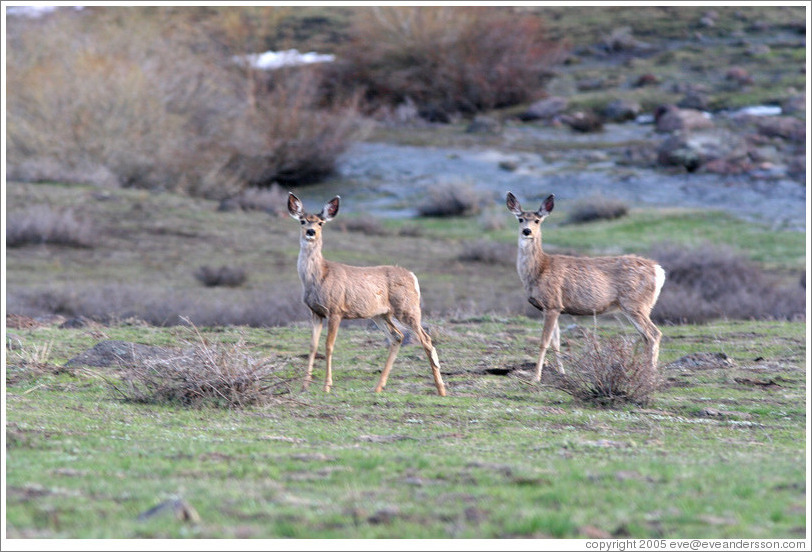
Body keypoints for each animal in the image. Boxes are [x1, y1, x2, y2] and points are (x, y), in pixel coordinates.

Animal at [288, 192, 448, 394]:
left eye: (320, 223)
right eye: (302, 221)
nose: (311, 232)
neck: (319, 276)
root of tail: (413, 277)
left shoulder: (336, 310)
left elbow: (329, 346)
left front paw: (327, 386)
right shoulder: (315, 312)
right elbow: (312, 346)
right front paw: (304, 386)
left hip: (407, 308)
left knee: (426, 340)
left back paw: (441, 390)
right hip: (380, 314)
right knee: (397, 337)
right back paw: (378, 387)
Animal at [508, 192, 668, 382]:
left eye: (537, 220)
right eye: (520, 219)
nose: (527, 231)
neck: (539, 269)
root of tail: (658, 270)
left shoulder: (552, 303)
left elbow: (544, 342)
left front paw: (535, 378)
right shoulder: (553, 307)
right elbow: (556, 341)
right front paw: (562, 373)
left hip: (635, 303)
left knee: (654, 334)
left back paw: (649, 377)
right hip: (639, 306)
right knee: (646, 336)